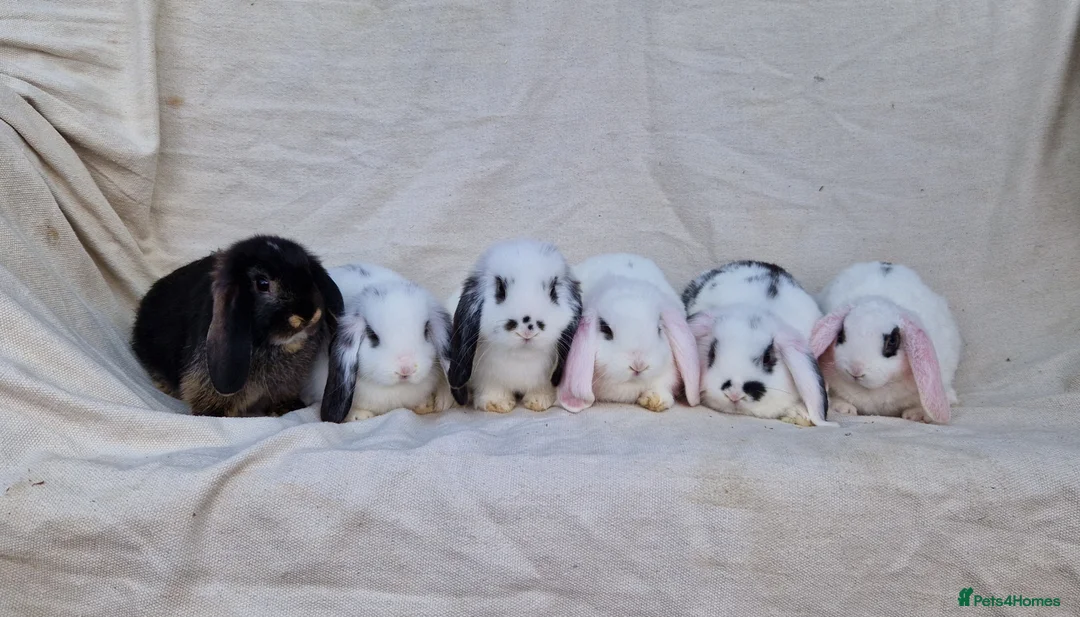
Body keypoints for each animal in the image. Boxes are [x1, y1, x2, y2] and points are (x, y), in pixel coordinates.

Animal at [446, 238, 582, 413]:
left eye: (553, 291)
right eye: (500, 289)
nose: (528, 328)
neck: (521, 357)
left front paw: (539, 402)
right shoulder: (487, 377)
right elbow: (492, 389)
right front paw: (497, 404)